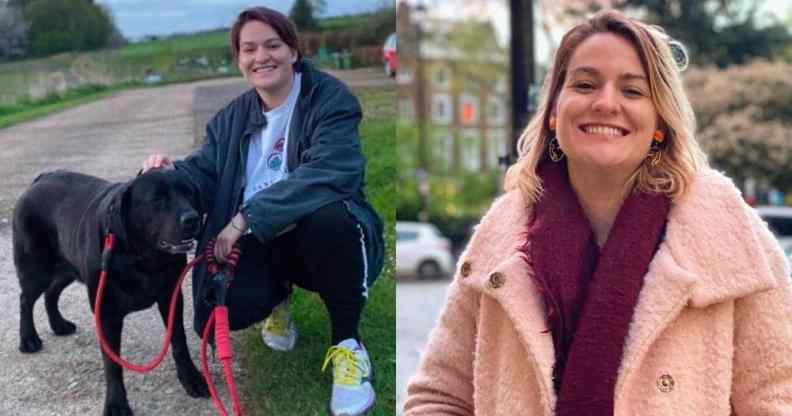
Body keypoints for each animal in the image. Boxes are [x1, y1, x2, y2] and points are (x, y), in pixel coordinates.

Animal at [13, 169, 210, 416]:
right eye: (157, 199)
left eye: (189, 193)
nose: (191, 219)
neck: (141, 258)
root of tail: (41, 178)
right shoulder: (106, 313)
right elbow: (112, 364)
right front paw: (116, 404)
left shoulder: (171, 298)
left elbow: (179, 341)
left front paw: (191, 378)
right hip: (36, 268)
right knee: (26, 299)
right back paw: (28, 338)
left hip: (68, 268)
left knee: (51, 293)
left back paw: (59, 325)